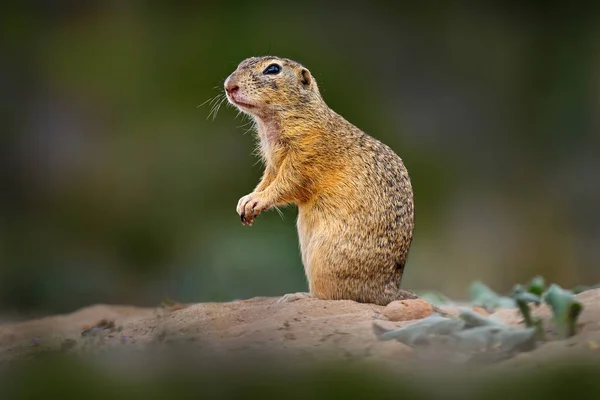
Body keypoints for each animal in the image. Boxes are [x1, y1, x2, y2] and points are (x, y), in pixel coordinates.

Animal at [224, 56, 418, 306]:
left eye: (273, 69)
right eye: (241, 63)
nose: (229, 86)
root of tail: (387, 293)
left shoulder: (305, 157)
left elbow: (285, 184)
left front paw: (256, 200)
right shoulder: (273, 164)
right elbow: (266, 180)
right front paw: (246, 201)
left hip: (323, 263)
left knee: (332, 297)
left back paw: (297, 296)